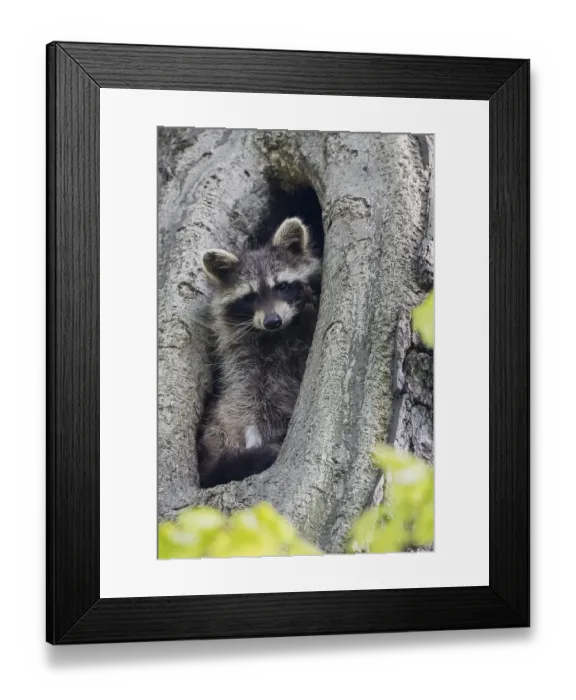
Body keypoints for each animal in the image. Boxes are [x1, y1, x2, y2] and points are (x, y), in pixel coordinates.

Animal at [197, 217, 322, 489]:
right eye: (250, 296)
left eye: (283, 286)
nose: (272, 321)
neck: (276, 336)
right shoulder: (242, 360)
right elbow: (247, 398)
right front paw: (254, 434)